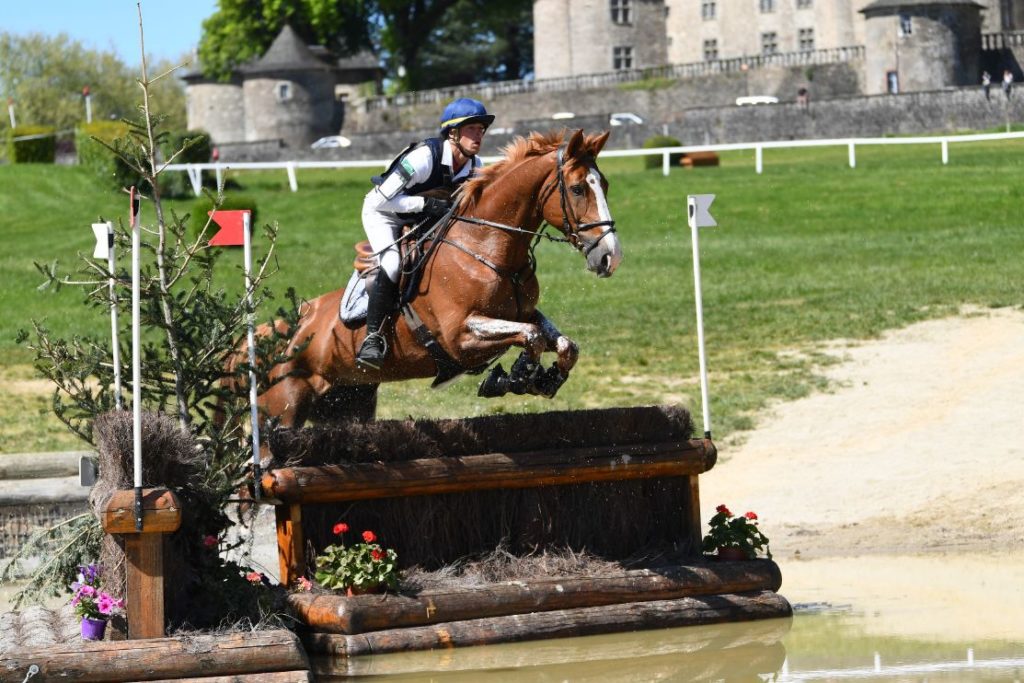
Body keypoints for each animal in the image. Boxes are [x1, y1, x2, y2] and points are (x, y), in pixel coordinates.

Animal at [260, 129, 618, 428]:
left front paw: (539, 379)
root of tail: (274, 334)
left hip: (347, 404)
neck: (485, 247)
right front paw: (515, 377)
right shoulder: (459, 336)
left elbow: (563, 343)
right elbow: (532, 336)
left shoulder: (523, 314)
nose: (610, 256)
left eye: (605, 185)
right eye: (577, 189)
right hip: (284, 411)